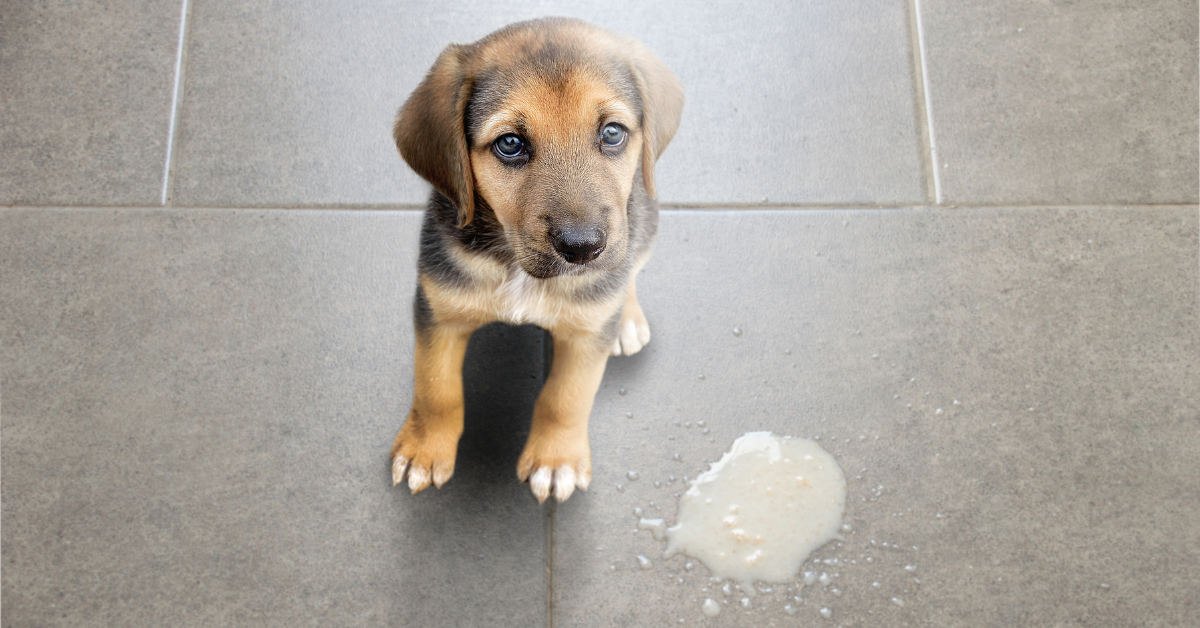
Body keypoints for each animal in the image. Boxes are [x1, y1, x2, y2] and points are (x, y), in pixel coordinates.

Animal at [388, 17, 681, 504]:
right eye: (510, 143)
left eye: (612, 133)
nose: (582, 248)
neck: (516, 267)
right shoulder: (438, 310)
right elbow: (436, 388)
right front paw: (424, 449)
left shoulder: (586, 336)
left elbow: (566, 398)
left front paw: (555, 459)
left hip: (643, 225)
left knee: (630, 271)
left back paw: (627, 319)